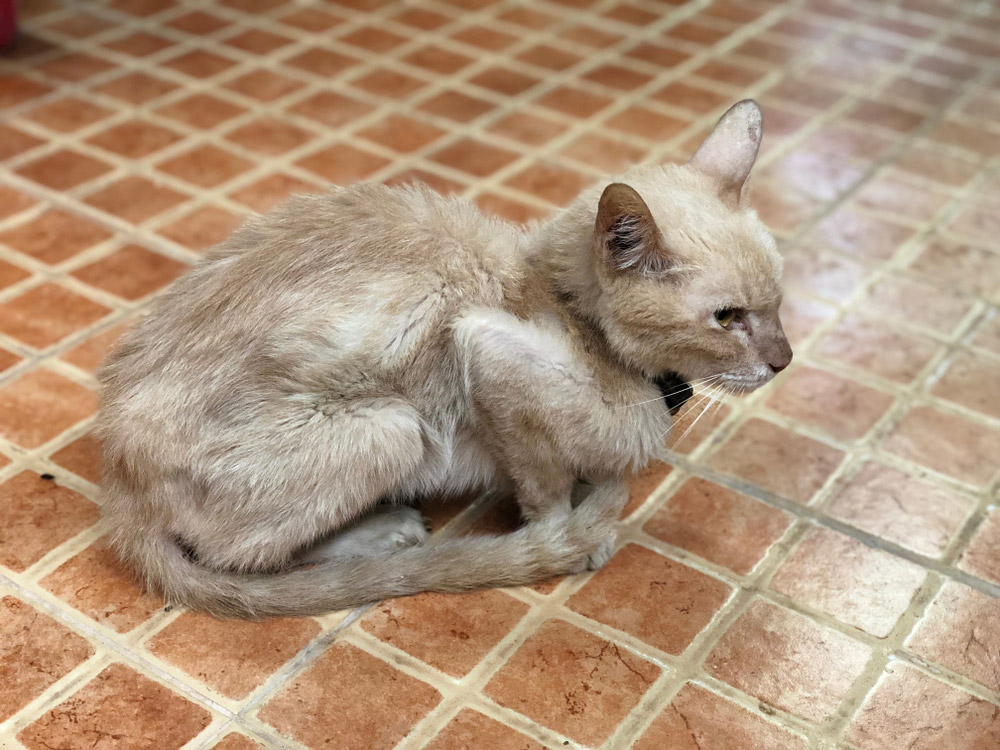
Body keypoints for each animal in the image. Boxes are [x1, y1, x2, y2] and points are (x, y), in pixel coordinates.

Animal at [97, 100, 792, 620]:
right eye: (727, 318)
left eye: (779, 300)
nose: (783, 361)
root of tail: (119, 481)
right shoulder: (484, 347)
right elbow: (543, 487)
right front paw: (568, 537)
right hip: (393, 427)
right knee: (246, 559)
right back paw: (386, 534)